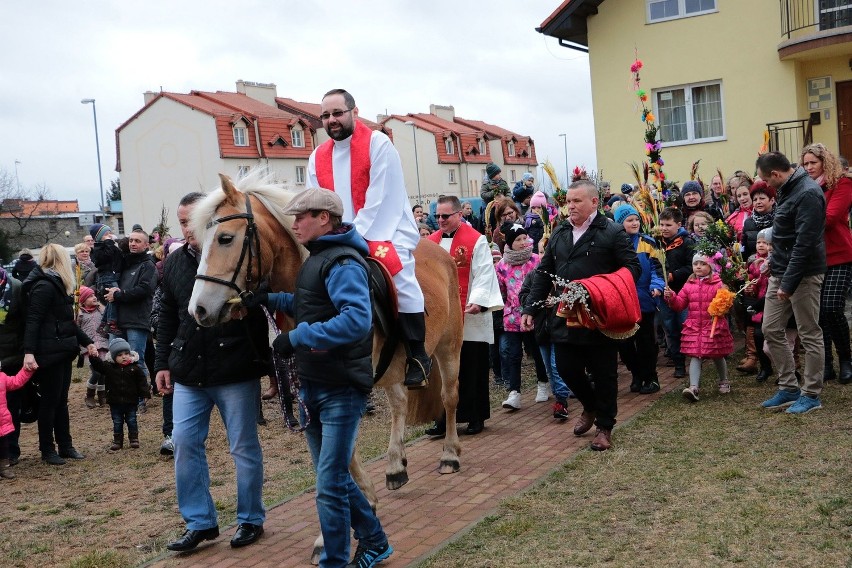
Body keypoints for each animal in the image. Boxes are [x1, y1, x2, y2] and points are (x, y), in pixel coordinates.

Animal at [189, 173, 462, 544]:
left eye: (225, 238)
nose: (199, 309)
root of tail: (438, 249)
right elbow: (332, 454)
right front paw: (361, 505)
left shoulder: (347, 390)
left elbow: (341, 450)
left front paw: (356, 511)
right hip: (393, 370)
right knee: (400, 404)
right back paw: (395, 465)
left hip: (449, 347)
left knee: (449, 398)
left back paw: (449, 454)